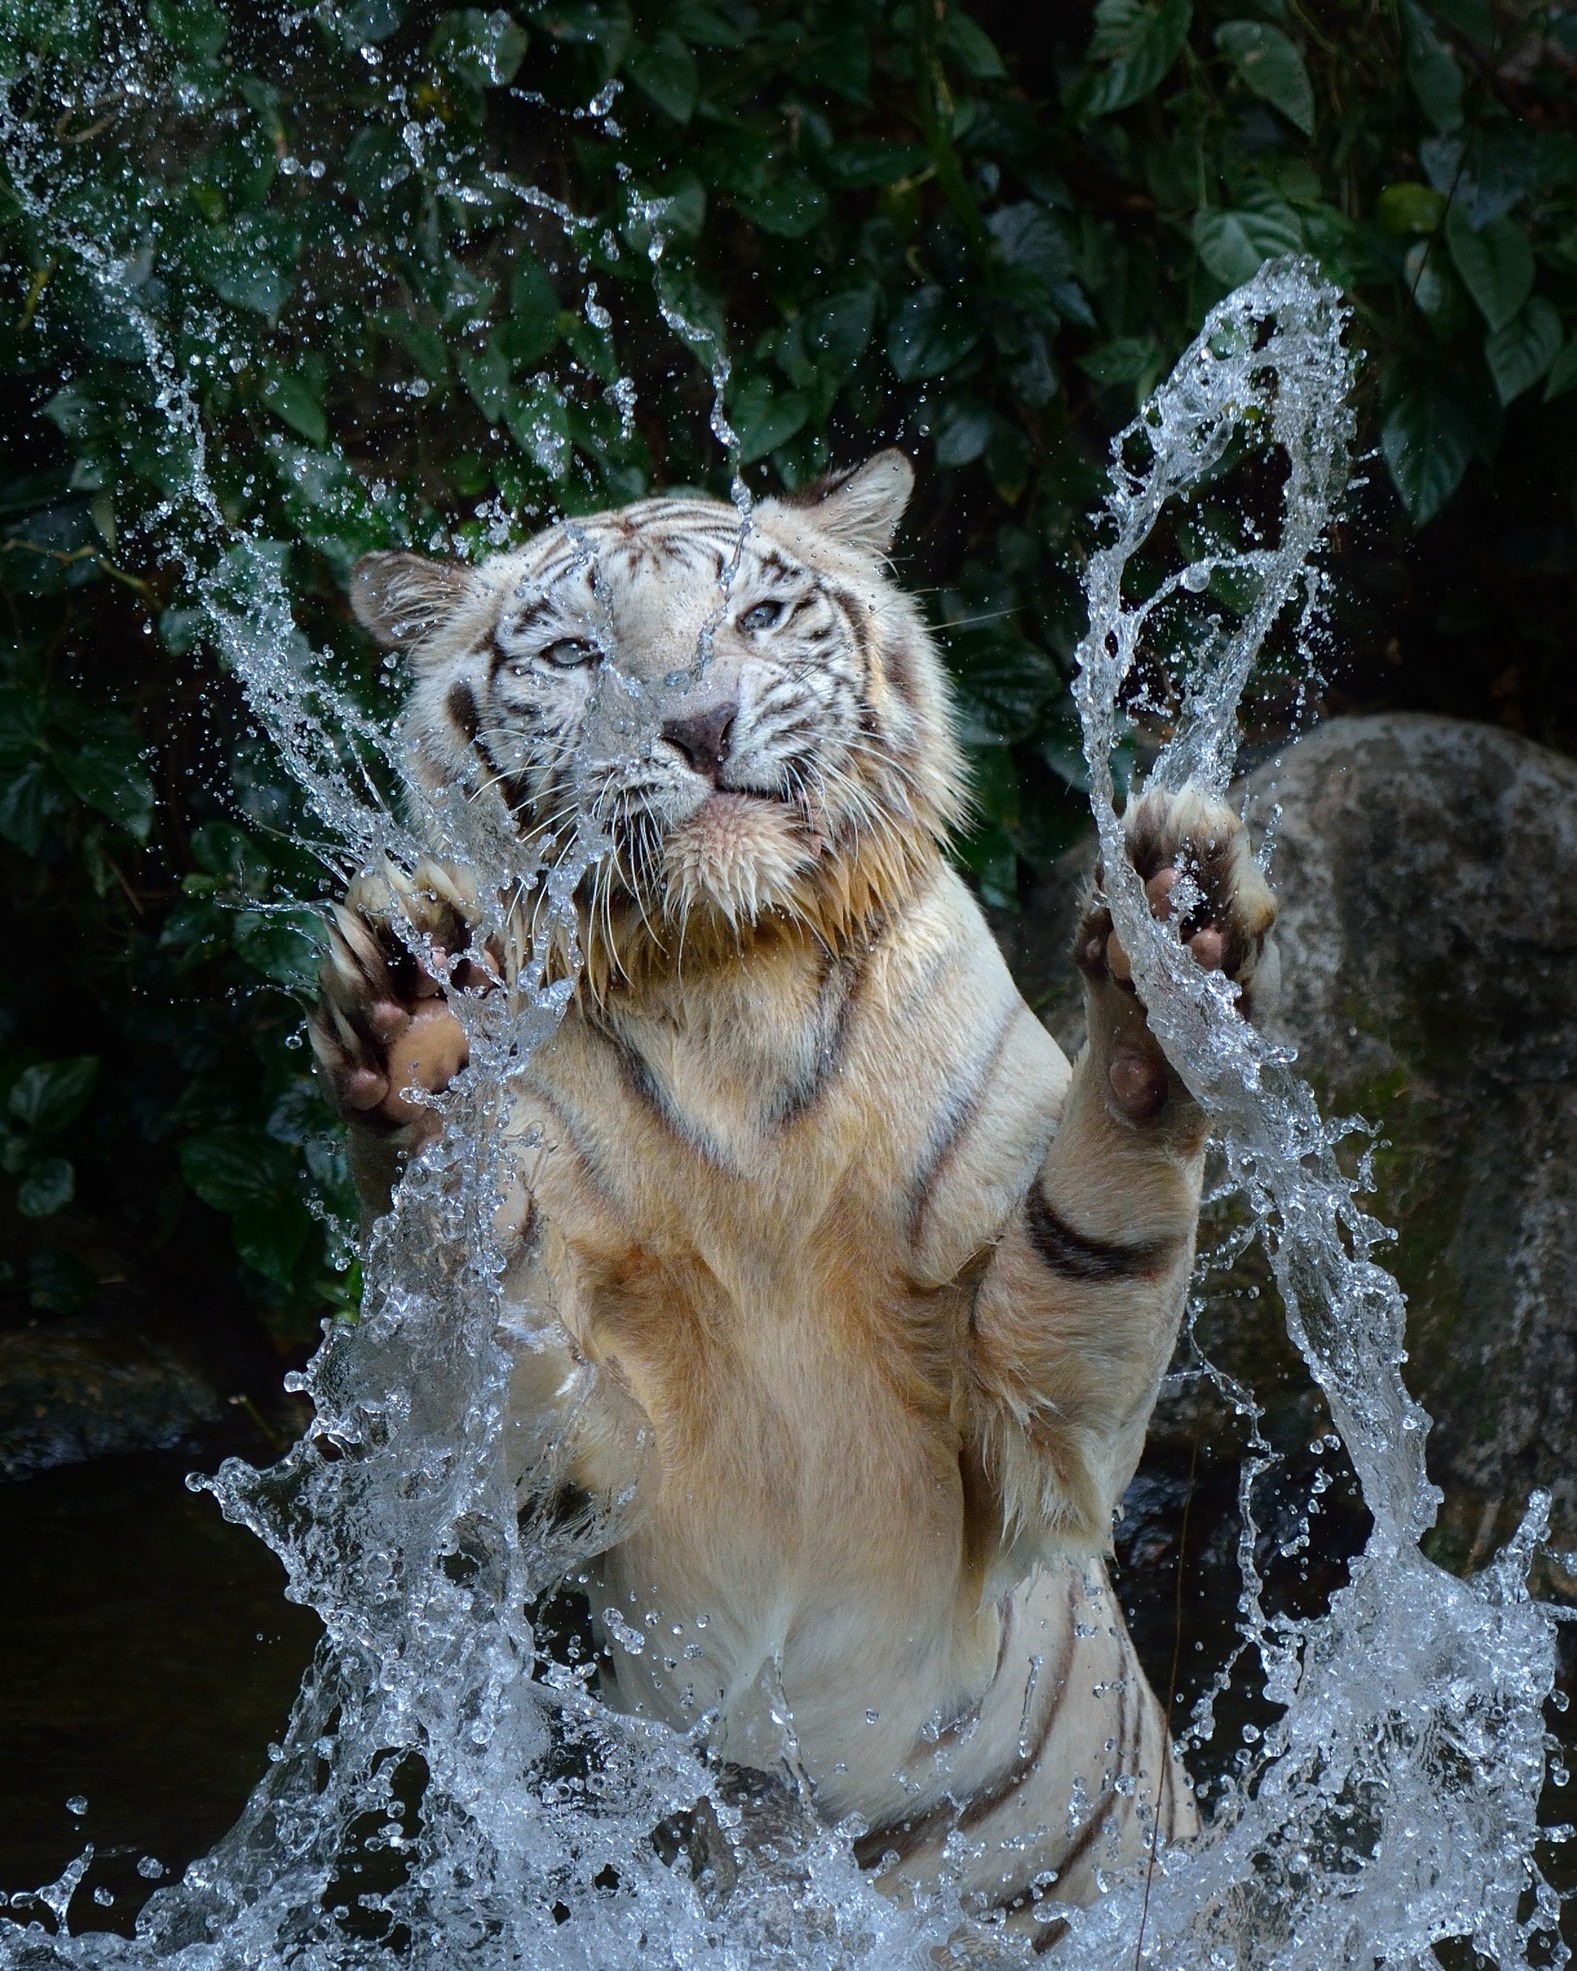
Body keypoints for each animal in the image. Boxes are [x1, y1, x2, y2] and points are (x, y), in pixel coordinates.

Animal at [311, 451, 1277, 1939]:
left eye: (760, 613)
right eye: (576, 653)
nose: (701, 724)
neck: (730, 983)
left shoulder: (1032, 1440)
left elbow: (1096, 1233)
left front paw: (1166, 956)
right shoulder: (552, 1476)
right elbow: (478, 1321)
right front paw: (414, 1038)